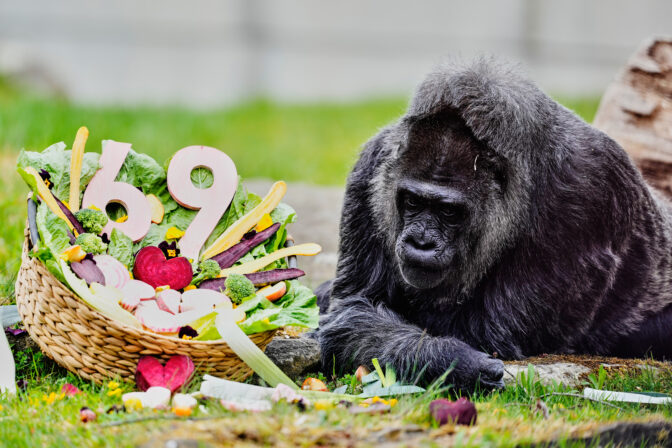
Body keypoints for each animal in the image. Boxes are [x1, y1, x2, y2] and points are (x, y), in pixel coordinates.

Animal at [317, 58, 672, 391]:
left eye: (449, 212)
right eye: (413, 202)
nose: (421, 242)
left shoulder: (589, 192)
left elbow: (490, 334)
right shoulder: (371, 166)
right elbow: (355, 308)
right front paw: (449, 360)